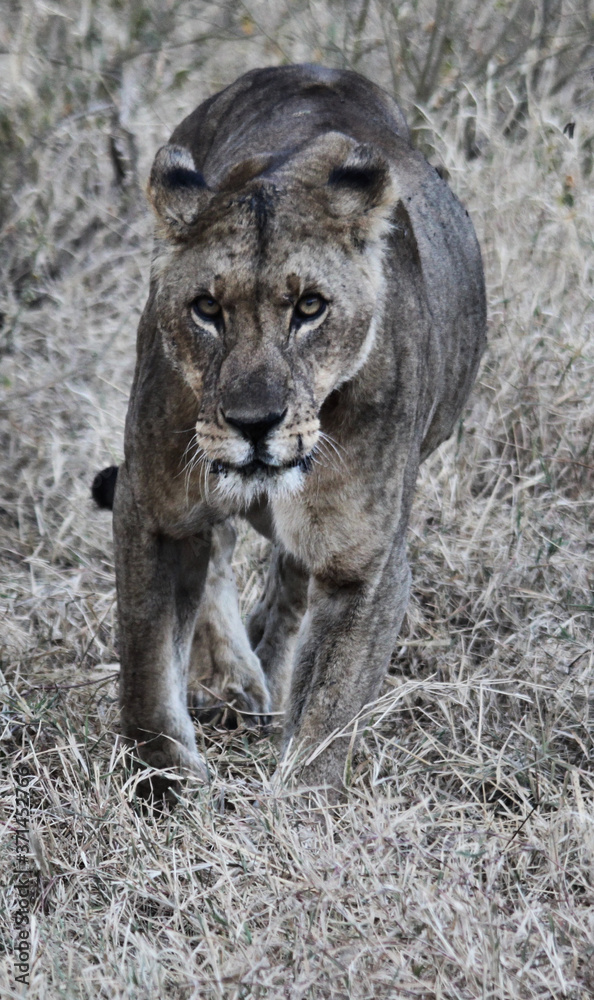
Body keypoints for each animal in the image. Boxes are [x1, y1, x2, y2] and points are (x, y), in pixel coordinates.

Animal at [96, 64, 486, 798]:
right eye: (207, 308)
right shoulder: (151, 508)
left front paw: (300, 808)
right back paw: (231, 682)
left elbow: (328, 707)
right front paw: (168, 786)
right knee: (220, 553)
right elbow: (145, 675)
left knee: (289, 589)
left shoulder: (366, 560)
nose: (254, 424)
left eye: (309, 307)